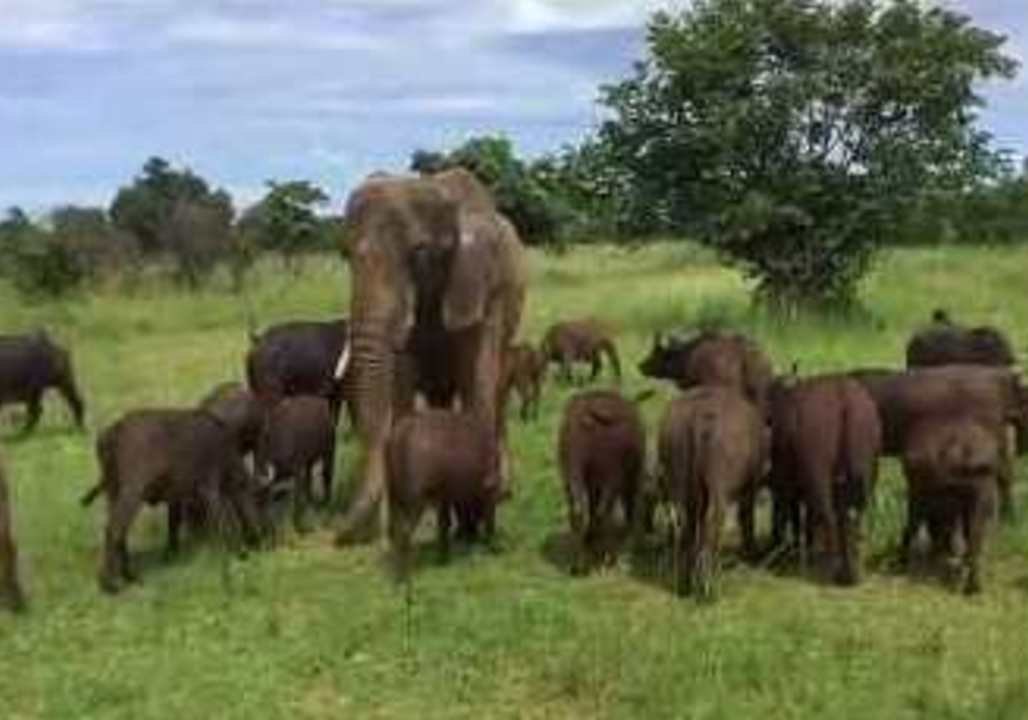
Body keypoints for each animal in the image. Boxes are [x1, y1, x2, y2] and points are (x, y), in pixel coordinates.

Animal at [333, 168, 527, 545]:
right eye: (345, 256)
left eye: (419, 252)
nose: (340, 535)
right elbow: (401, 383)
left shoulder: (485, 285)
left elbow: (477, 385)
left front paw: (473, 514)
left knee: (493, 392)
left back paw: (505, 489)